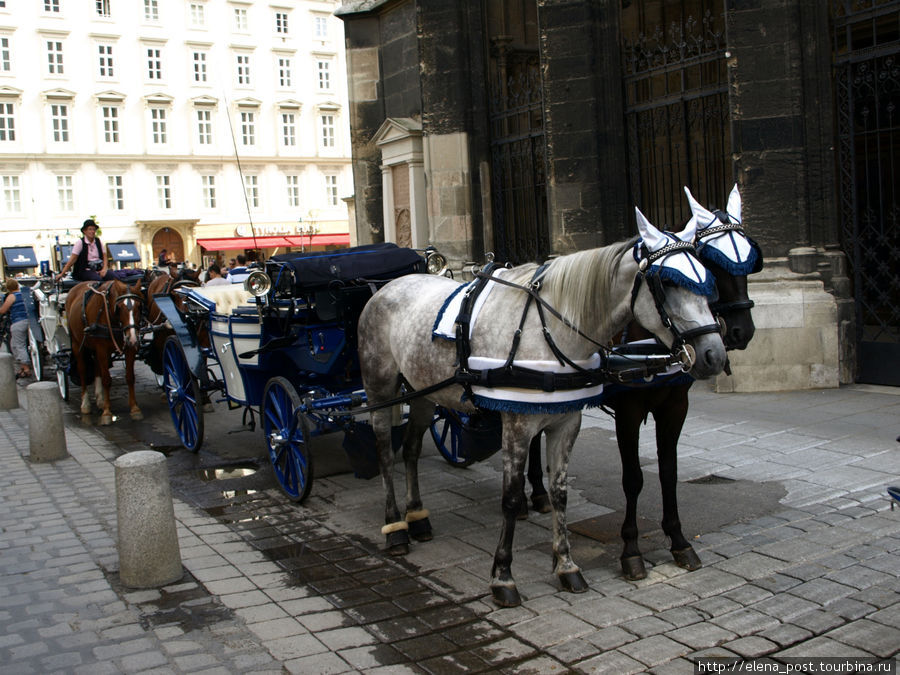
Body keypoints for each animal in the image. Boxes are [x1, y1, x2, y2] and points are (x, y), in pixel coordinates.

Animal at [64, 278, 144, 426]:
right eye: (119, 308)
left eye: (139, 307)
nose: (133, 339)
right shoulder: (101, 347)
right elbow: (107, 380)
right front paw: (107, 413)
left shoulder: (129, 348)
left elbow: (130, 377)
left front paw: (135, 409)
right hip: (77, 344)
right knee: (82, 371)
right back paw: (86, 404)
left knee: (97, 368)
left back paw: (100, 400)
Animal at [360, 209, 732, 604]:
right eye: (667, 281)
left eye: (707, 278)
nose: (714, 354)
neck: (550, 327)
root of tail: (389, 286)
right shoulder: (517, 426)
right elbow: (510, 498)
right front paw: (503, 576)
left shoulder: (566, 422)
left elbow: (560, 494)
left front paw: (566, 566)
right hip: (381, 386)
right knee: (385, 451)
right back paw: (395, 526)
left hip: (422, 391)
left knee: (411, 449)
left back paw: (417, 517)